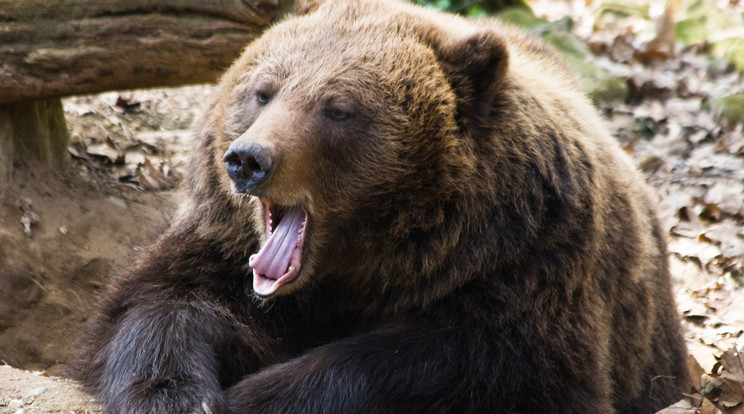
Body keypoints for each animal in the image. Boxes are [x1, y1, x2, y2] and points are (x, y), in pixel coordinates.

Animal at [70, 0, 692, 412]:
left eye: (338, 108)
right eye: (263, 90)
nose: (247, 160)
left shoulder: (528, 265)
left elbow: (485, 365)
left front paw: (257, 396)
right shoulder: (223, 251)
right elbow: (159, 305)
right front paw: (175, 394)